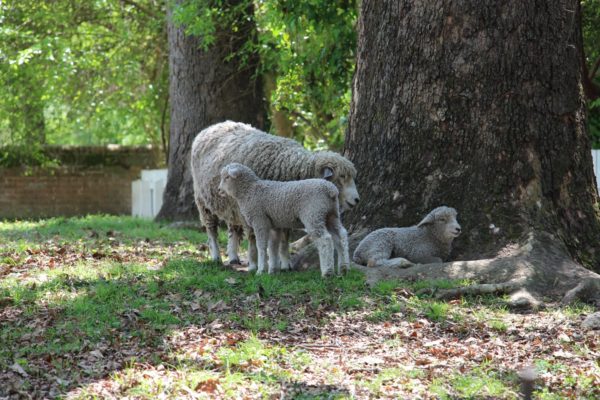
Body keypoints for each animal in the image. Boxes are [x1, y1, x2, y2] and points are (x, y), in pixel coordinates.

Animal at [218, 162, 350, 276]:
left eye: (227, 177)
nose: (219, 190)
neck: (249, 191)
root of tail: (331, 190)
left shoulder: (259, 221)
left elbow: (261, 246)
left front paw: (261, 270)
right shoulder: (274, 225)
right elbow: (273, 247)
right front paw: (272, 270)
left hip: (313, 214)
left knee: (325, 239)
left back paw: (327, 272)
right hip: (331, 215)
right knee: (341, 236)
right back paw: (343, 268)